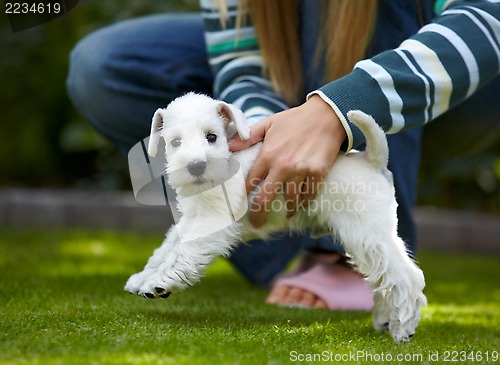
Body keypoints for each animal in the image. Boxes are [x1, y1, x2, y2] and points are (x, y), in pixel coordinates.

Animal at [125, 91, 426, 342]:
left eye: (212, 137)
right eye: (175, 142)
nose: (196, 166)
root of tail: (372, 161)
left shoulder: (212, 223)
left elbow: (182, 254)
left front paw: (159, 282)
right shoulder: (191, 219)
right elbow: (167, 249)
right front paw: (143, 277)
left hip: (368, 235)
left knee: (407, 277)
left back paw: (403, 329)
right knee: (386, 280)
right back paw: (386, 319)